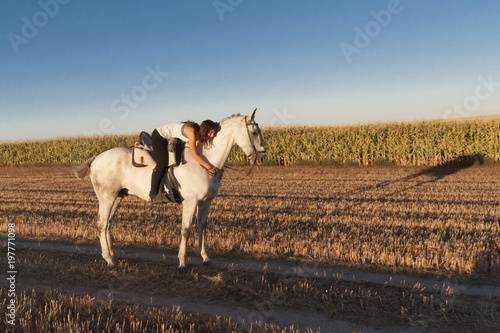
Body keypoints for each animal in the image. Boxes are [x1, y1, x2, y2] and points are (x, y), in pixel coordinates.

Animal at [73, 109, 266, 270]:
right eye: (254, 133)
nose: (262, 157)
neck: (204, 161)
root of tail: (96, 158)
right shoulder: (190, 203)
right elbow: (185, 230)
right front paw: (182, 262)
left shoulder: (205, 202)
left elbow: (202, 227)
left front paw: (205, 257)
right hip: (106, 197)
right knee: (101, 224)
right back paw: (109, 260)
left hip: (117, 197)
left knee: (108, 224)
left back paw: (113, 255)